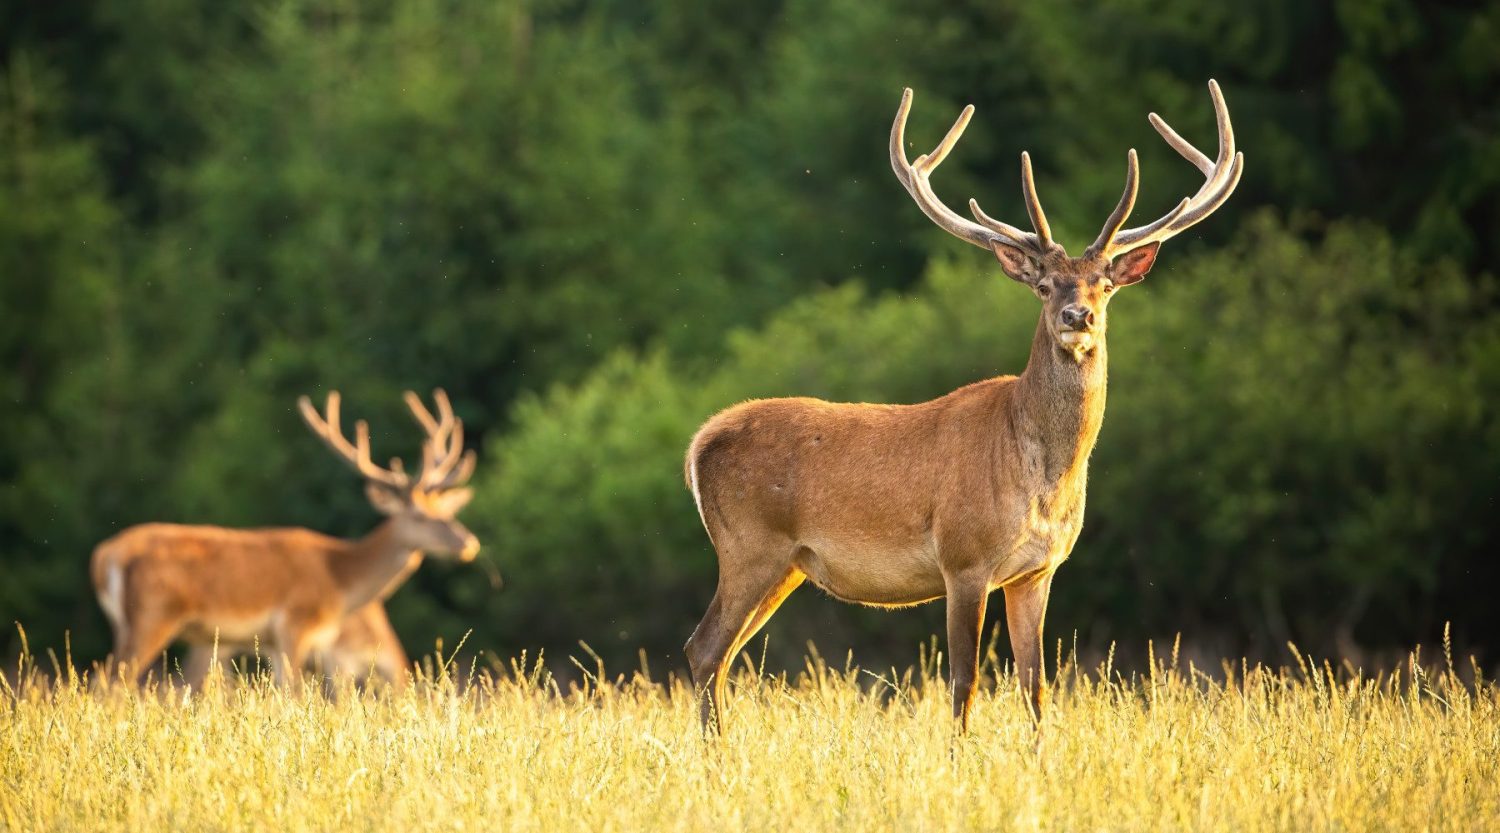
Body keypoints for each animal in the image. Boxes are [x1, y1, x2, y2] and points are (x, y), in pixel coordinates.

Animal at [92, 387, 480, 687]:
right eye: (420, 516)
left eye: (447, 512)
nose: (469, 545)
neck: (341, 580)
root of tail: (104, 557)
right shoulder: (297, 624)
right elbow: (295, 691)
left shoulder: (273, 642)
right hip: (153, 615)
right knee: (112, 683)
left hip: (134, 626)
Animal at [687, 81, 1248, 732]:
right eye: (1044, 285)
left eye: (1104, 285)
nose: (1077, 316)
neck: (1042, 478)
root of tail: (699, 444)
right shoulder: (963, 559)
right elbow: (964, 682)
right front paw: (959, 752)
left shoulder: (1038, 570)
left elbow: (1035, 685)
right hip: (750, 546)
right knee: (705, 648)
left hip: (788, 565)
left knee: (722, 655)